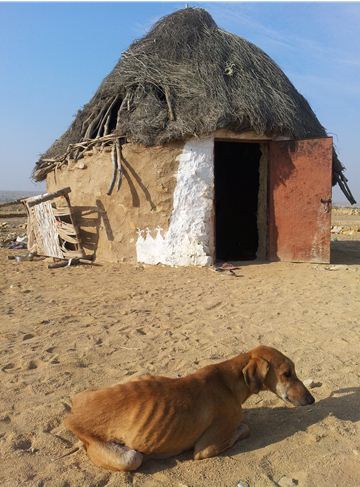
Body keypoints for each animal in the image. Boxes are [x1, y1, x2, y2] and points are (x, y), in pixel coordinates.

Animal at [63, 346, 314, 470]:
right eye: (287, 374)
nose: (311, 400)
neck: (228, 380)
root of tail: (72, 414)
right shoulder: (205, 448)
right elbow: (244, 427)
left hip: (141, 374)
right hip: (130, 458)